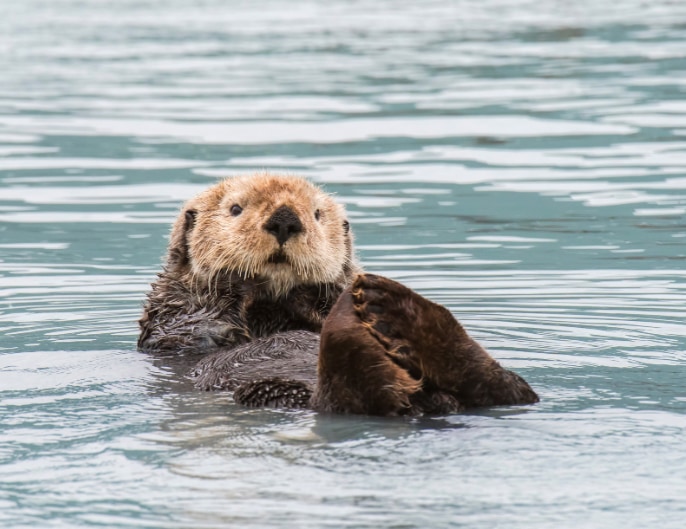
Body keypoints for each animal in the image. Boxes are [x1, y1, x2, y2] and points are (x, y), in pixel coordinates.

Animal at [138, 172, 536, 412]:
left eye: (316, 214)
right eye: (235, 209)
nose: (285, 219)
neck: (273, 308)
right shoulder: (173, 314)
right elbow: (199, 325)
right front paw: (238, 282)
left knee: (510, 390)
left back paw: (394, 310)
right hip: (274, 391)